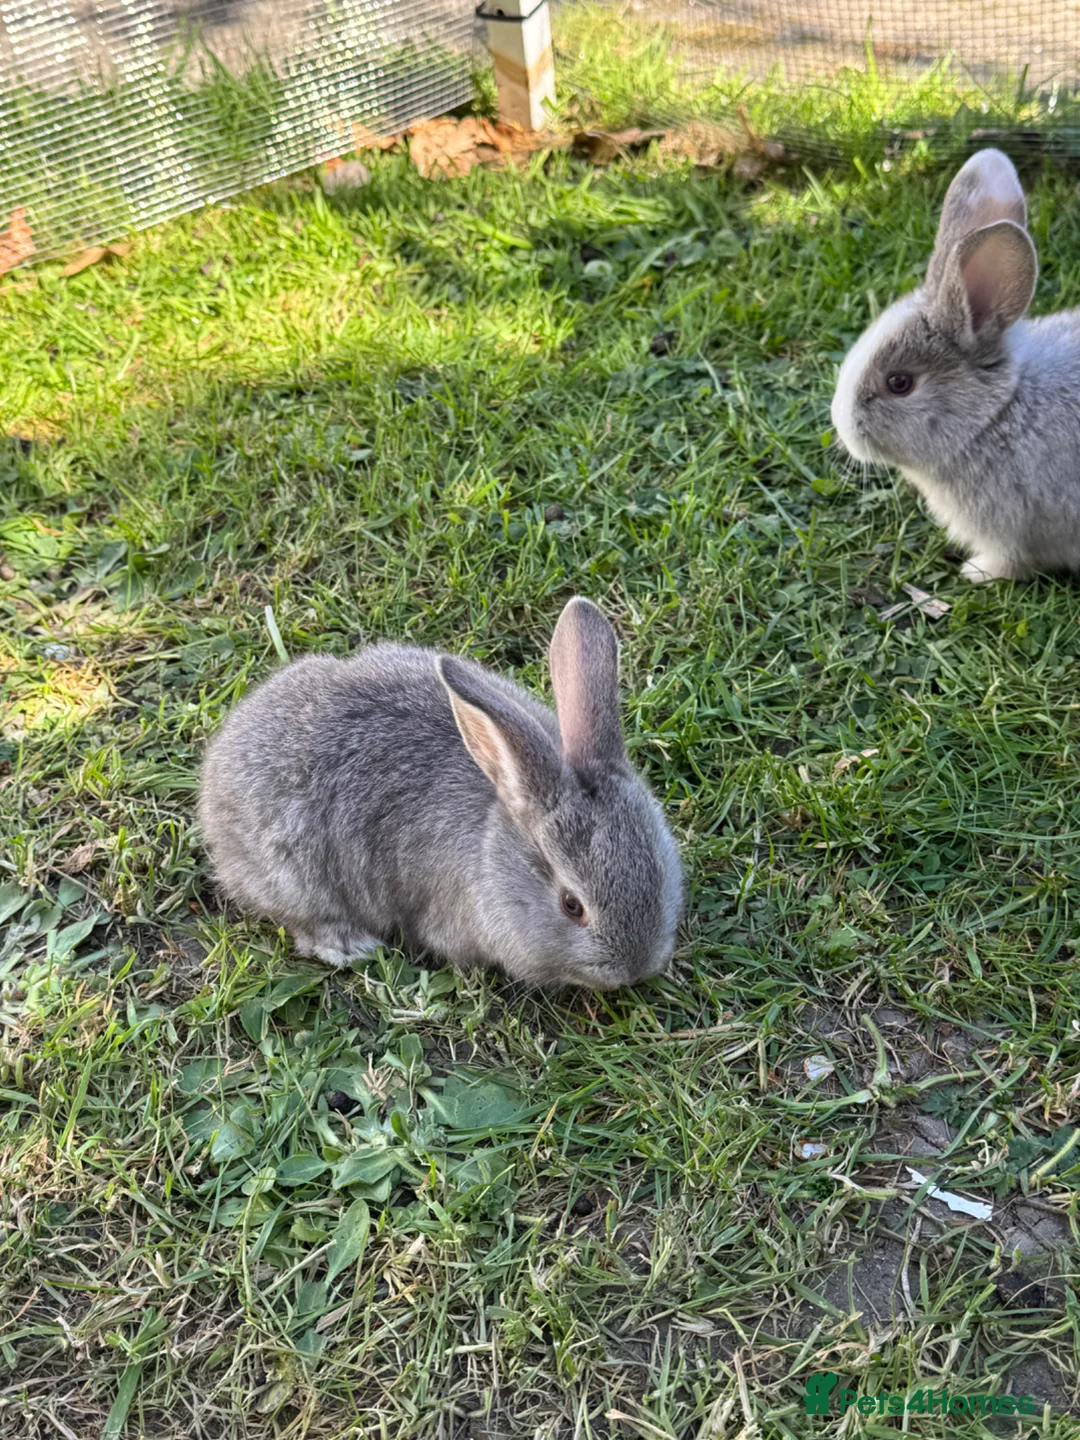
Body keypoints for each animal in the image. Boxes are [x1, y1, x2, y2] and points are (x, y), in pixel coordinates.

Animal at [198, 598, 683, 991]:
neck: (495, 844)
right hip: (296, 877)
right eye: (572, 906)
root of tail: (215, 784)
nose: (634, 970)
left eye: (660, 869)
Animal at [831, 146, 1080, 583]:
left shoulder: (1013, 535)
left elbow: (1011, 562)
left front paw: (975, 572)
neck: (995, 416)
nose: (841, 427)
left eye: (899, 383)